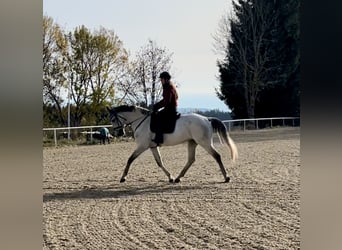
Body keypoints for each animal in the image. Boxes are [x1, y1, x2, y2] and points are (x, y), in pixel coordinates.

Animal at [107, 104, 238, 183]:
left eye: (113, 119)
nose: (119, 133)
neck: (141, 122)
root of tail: (207, 119)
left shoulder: (142, 146)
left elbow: (130, 159)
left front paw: (123, 178)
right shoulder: (152, 147)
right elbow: (159, 162)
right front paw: (170, 177)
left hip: (204, 142)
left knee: (217, 156)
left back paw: (226, 177)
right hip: (192, 142)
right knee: (191, 159)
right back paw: (178, 178)